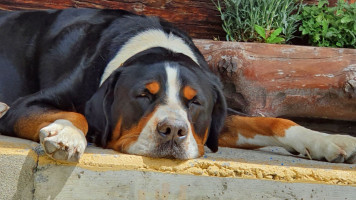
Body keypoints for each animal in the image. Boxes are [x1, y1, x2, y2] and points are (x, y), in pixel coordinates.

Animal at [0, 8, 356, 163]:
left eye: (194, 102)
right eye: (144, 95)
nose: (173, 131)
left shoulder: (218, 118)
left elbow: (274, 121)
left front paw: (330, 141)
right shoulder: (27, 106)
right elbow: (77, 115)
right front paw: (68, 135)